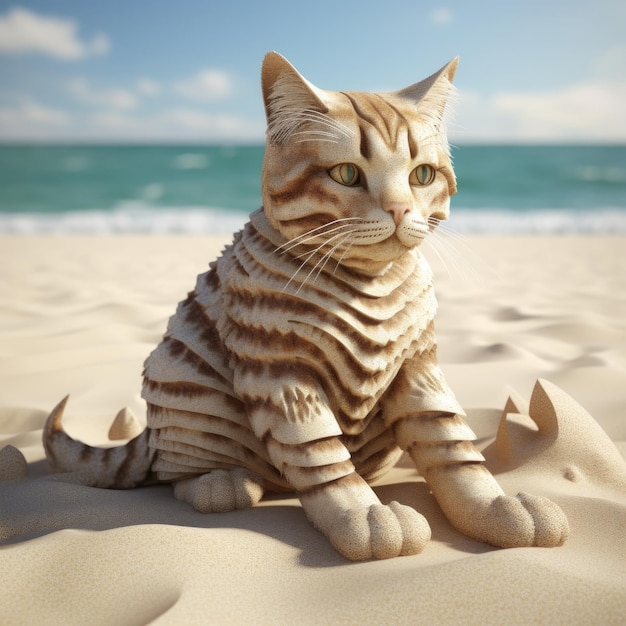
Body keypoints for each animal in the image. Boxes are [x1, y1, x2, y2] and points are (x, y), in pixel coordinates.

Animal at [44, 52, 568, 560]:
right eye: (347, 174)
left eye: (422, 176)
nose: (401, 211)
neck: (369, 281)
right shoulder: (280, 374)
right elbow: (320, 453)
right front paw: (366, 517)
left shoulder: (419, 365)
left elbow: (452, 445)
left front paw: (499, 509)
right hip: (182, 378)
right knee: (179, 469)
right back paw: (222, 483)